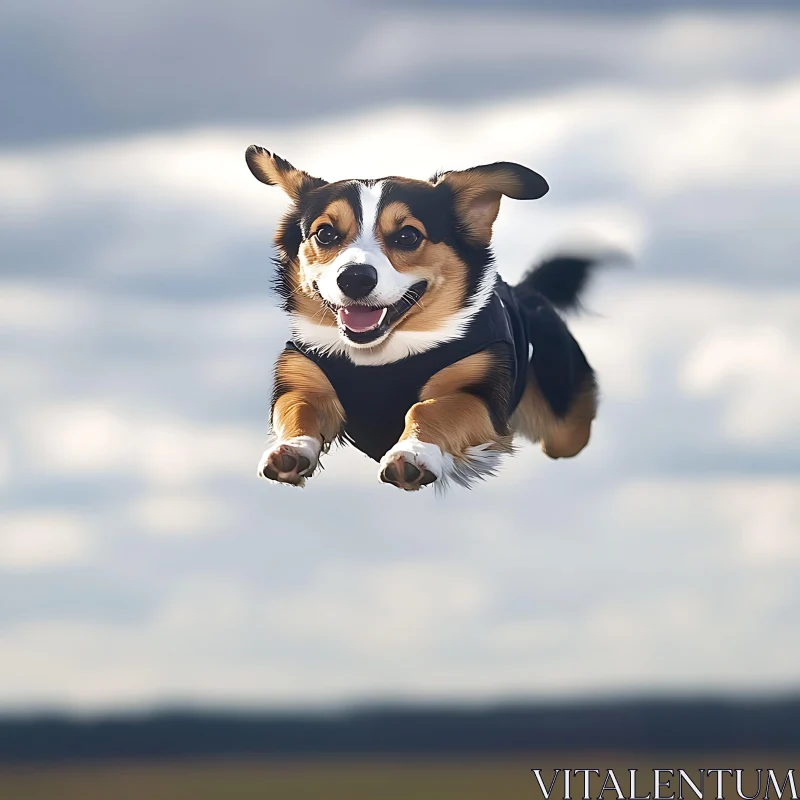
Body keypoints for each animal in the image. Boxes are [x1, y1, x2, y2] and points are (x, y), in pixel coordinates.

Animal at [244, 146, 600, 490]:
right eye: (325, 234)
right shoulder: (302, 378)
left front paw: (411, 453)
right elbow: (299, 407)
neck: (380, 356)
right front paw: (290, 450)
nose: (355, 278)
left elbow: (429, 408)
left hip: (562, 419)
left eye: (408, 236)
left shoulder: (475, 391)